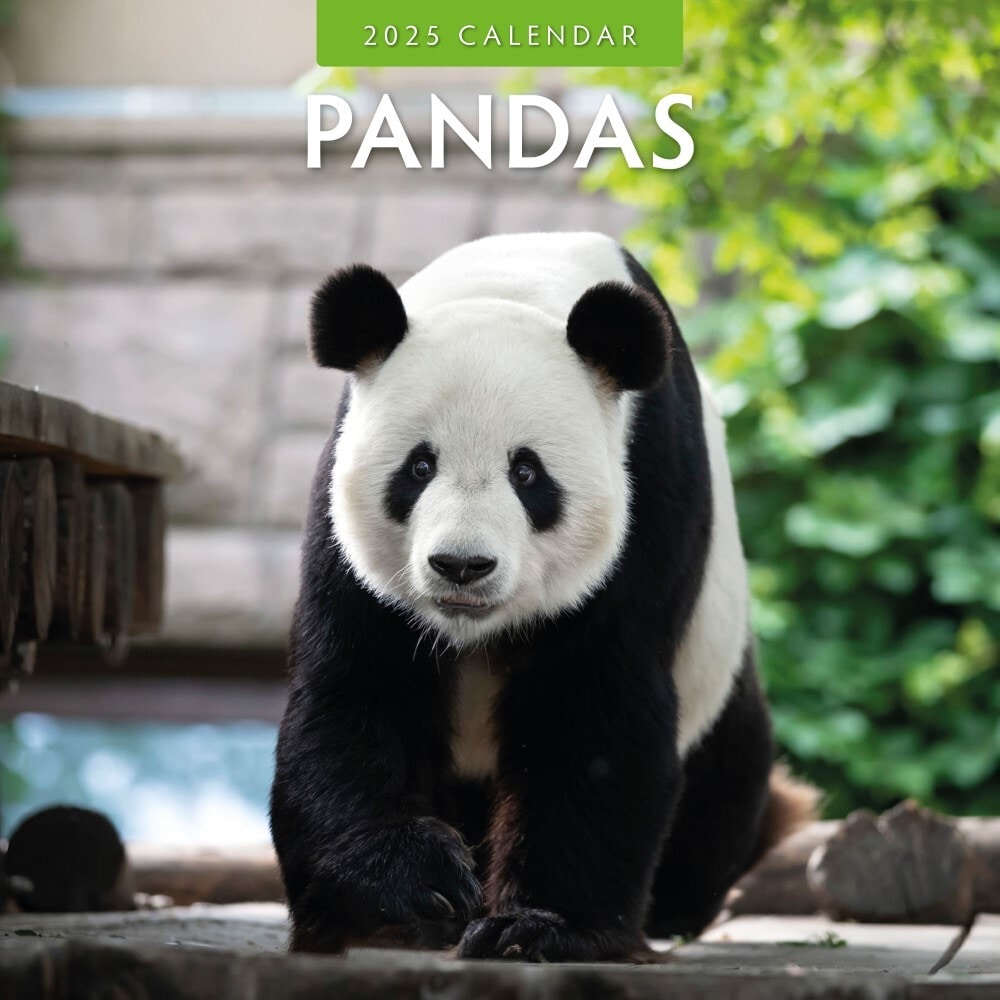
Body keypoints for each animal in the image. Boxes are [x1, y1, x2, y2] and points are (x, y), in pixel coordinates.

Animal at [270, 231, 816, 962]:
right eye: (419, 466)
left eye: (527, 473)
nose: (461, 566)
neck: (514, 280)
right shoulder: (343, 516)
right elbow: (358, 688)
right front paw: (406, 895)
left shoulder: (649, 487)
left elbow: (593, 705)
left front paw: (536, 929)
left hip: (718, 671)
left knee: (725, 783)